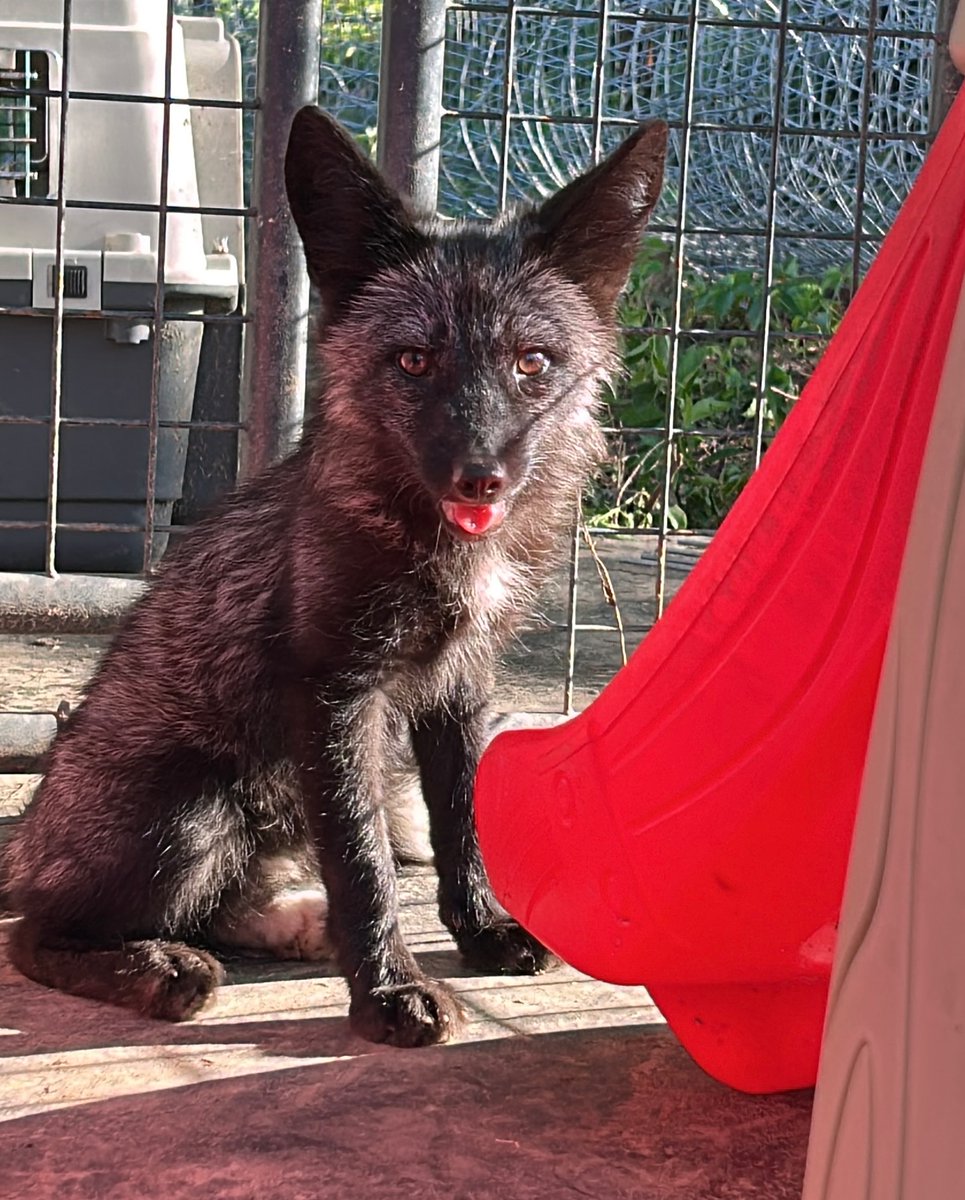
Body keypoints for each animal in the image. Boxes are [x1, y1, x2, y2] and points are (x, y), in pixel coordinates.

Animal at [1, 107, 666, 1048]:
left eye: (531, 362)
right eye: (414, 361)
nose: (479, 477)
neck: (444, 550)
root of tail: (29, 837)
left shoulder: (460, 685)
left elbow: (460, 822)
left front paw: (478, 930)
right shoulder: (335, 690)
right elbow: (364, 864)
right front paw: (388, 991)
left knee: (220, 907)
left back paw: (292, 926)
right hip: (195, 811)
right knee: (40, 932)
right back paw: (162, 972)